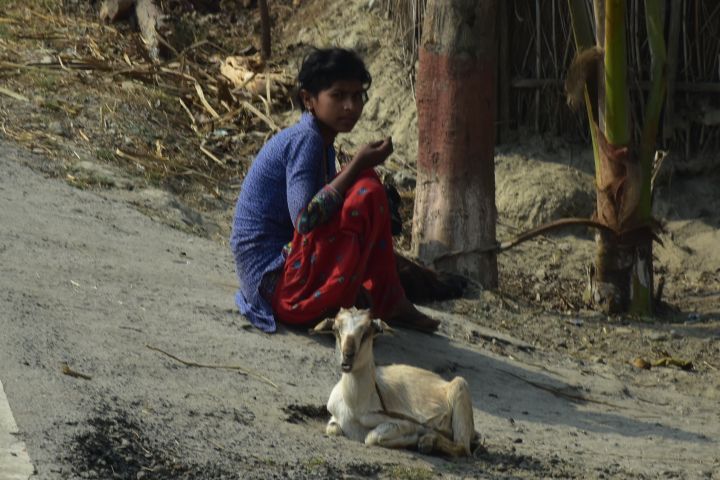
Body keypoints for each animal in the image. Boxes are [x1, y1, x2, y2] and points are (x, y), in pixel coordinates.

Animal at [310, 308, 476, 458]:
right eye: (336, 329)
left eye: (367, 332)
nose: (347, 357)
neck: (355, 407)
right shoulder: (335, 417)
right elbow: (332, 429)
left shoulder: (405, 423)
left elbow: (372, 437)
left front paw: (413, 439)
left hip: (461, 388)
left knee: (462, 447)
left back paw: (427, 443)